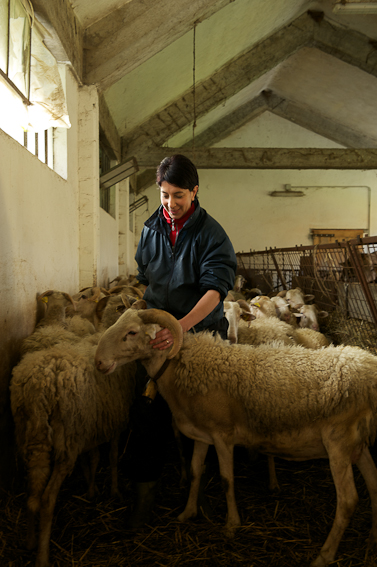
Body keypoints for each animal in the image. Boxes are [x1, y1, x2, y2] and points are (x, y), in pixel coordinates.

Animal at [9, 292, 137, 567]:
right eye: (120, 307)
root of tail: (39, 387)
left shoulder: (91, 423)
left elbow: (93, 457)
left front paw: (91, 489)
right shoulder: (113, 421)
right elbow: (111, 457)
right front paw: (113, 490)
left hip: (30, 436)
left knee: (32, 492)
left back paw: (29, 540)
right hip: (65, 441)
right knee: (47, 500)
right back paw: (42, 555)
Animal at [94, 306, 377, 567]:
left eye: (131, 333)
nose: (98, 362)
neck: (184, 367)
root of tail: (368, 371)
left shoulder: (223, 434)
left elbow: (226, 479)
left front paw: (231, 525)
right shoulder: (202, 434)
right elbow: (196, 471)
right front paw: (188, 512)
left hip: (338, 442)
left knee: (348, 500)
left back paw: (324, 555)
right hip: (357, 444)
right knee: (373, 484)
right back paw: (373, 536)